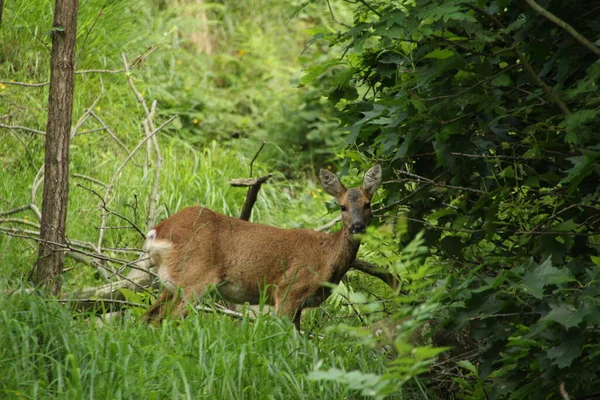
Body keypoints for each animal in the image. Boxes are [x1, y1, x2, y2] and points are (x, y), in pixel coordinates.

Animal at [143, 164, 382, 330]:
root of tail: (158, 231)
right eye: (342, 206)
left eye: (368, 204)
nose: (358, 226)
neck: (327, 256)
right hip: (196, 278)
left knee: (149, 315)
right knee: (167, 319)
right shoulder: (288, 289)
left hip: (171, 283)